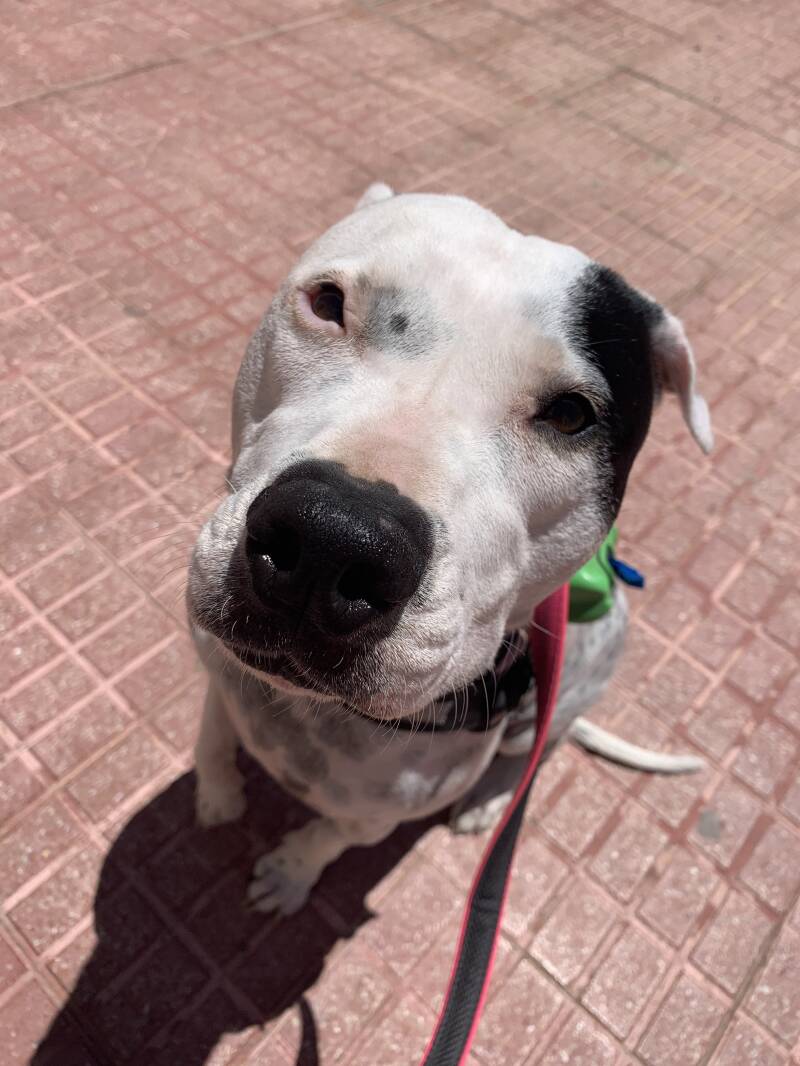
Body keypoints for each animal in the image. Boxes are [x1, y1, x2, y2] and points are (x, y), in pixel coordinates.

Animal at [188, 183, 712, 915]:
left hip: (558, 706)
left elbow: (327, 839)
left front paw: (290, 874)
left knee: (531, 757)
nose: (331, 539)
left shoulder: (375, 819)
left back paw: (489, 803)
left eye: (571, 415)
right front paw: (216, 795)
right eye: (328, 303)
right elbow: (212, 736)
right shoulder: (220, 670)